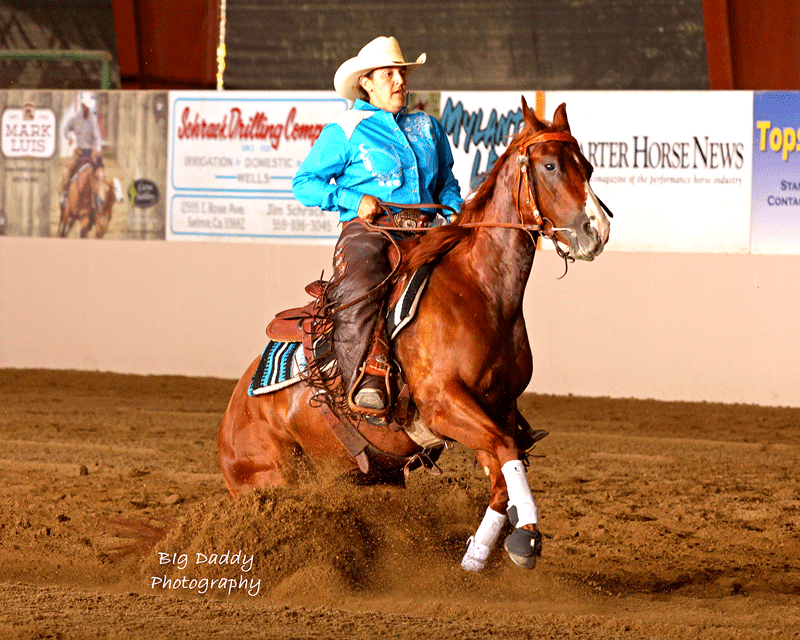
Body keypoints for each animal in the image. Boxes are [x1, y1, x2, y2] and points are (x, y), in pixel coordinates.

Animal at [218, 97, 611, 572]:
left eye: (587, 166)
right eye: (550, 165)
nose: (597, 231)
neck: (479, 291)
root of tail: (233, 415)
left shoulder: (497, 408)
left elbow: (504, 471)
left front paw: (477, 557)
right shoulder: (444, 405)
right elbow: (505, 455)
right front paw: (525, 539)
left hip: (371, 477)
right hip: (273, 481)